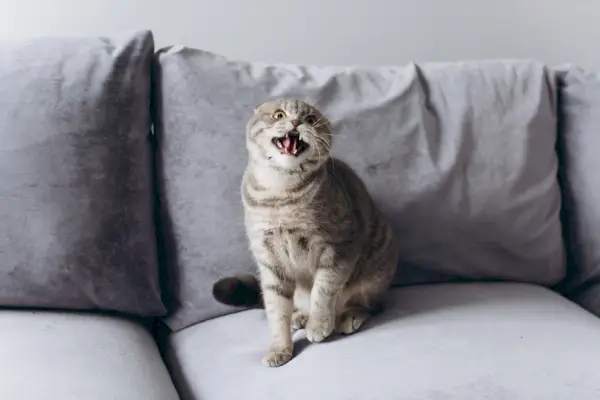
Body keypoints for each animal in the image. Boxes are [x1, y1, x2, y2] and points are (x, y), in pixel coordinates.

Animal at [211, 98, 398, 368]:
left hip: (375, 270)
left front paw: (319, 324)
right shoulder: (270, 261)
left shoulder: (339, 247)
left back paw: (346, 317)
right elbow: (276, 310)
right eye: (279, 114)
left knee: (368, 305)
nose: (296, 122)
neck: (280, 195)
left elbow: (323, 290)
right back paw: (299, 316)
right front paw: (280, 348)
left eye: (310, 119)